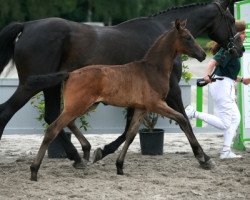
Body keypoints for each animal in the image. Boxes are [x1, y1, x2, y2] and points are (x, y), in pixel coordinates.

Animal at [28, 19, 206, 181]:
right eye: (188, 37)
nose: (203, 54)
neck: (152, 70)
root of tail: (70, 74)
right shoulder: (156, 104)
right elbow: (182, 119)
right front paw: (202, 157)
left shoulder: (141, 108)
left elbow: (131, 134)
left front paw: (119, 166)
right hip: (78, 106)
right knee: (53, 129)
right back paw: (35, 170)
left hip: (85, 106)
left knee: (68, 123)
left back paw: (85, 153)